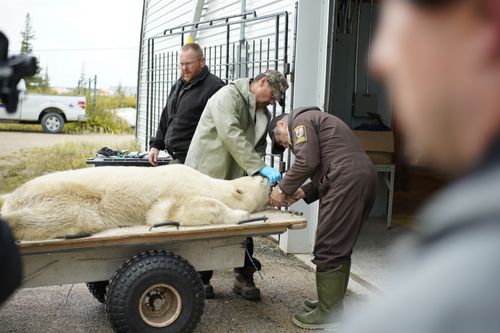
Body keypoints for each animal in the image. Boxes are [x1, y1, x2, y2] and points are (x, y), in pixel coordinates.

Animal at [0, 164, 270, 240]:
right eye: (259, 179)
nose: (271, 177)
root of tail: (14, 196)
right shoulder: (180, 190)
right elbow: (172, 212)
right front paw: (239, 215)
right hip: (64, 198)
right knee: (58, 217)